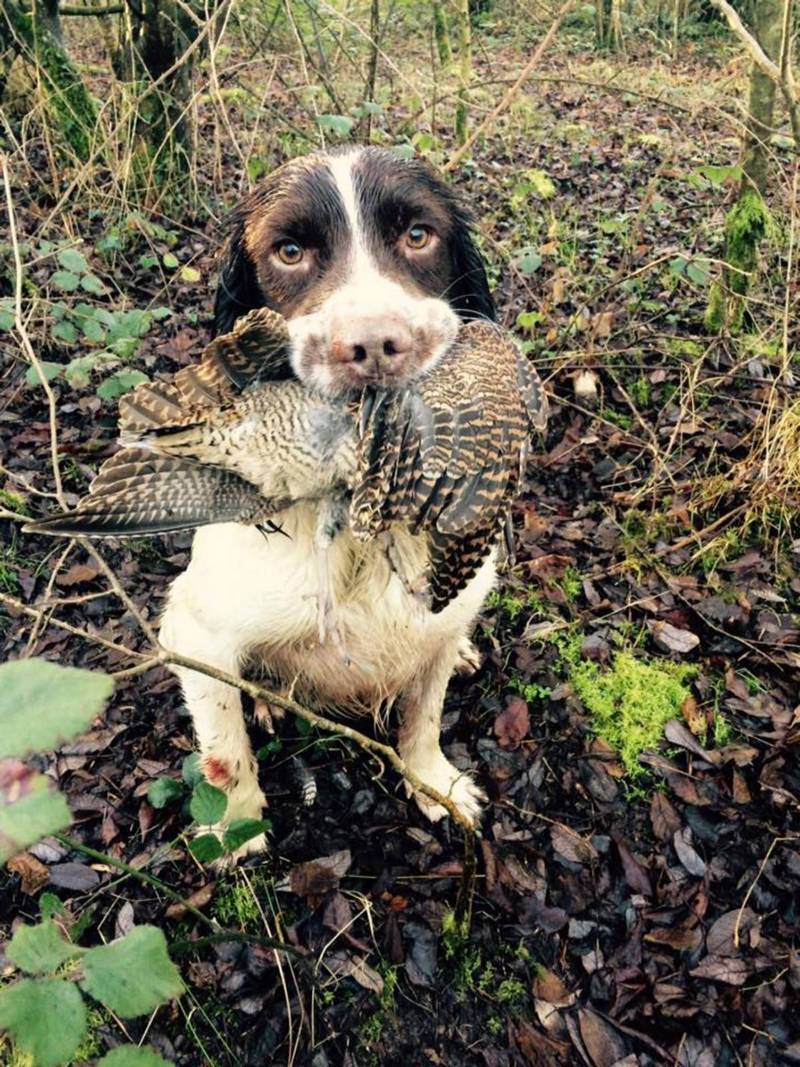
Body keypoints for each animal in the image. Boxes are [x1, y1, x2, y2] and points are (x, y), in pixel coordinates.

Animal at [161, 146, 501, 857]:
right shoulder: (195, 633)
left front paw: (435, 784)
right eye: (289, 251)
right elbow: (225, 748)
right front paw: (234, 828)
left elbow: (425, 713)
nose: (372, 346)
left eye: (418, 235)